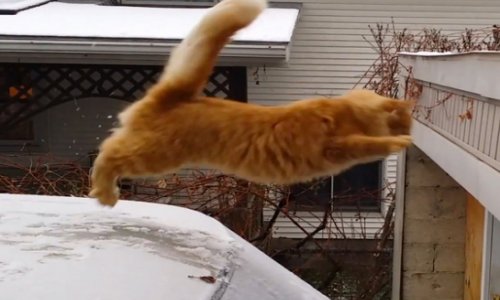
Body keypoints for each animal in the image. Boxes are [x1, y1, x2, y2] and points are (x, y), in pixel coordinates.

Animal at [88, 0, 412, 206]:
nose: (411, 130)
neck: (345, 110)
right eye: (406, 123)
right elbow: (369, 144)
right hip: (154, 155)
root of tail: (177, 96)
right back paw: (105, 193)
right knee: (108, 154)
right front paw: (399, 142)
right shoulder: (338, 145)